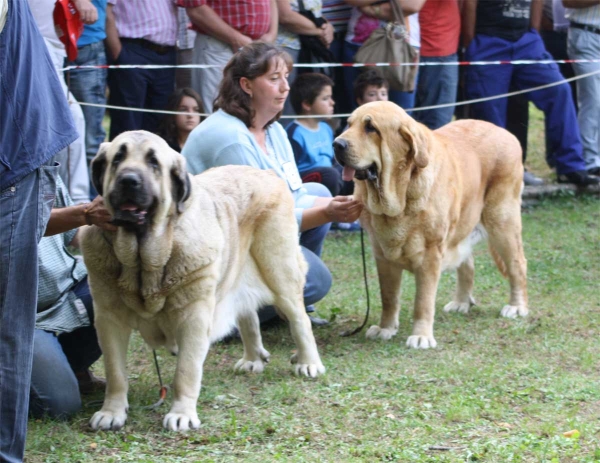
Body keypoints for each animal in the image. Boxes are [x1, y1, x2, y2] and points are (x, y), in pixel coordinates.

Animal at [82, 131, 326, 436]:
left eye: (153, 162)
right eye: (117, 159)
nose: (129, 180)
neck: (143, 262)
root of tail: (268, 173)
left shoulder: (193, 318)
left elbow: (185, 371)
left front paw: (182, 414)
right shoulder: (109, 319)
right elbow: (115, 371)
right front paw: (111, 412)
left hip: (279, 269)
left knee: (299, 319)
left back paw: (309, 363)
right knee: (248, 316)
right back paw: (253, 358)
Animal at [332, 101, 528, 348]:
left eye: (371, 128)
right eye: (349, 124)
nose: (337, 143)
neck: (399, 197)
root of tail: (507, 134)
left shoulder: (430, 255)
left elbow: (422, 301)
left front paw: (421, 336)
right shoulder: (382, 256)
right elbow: (389, 297)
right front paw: (385, 328)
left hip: (502, 222)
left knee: (517, 264)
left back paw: (517, 306)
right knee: (467, 264)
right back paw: (461, 302)